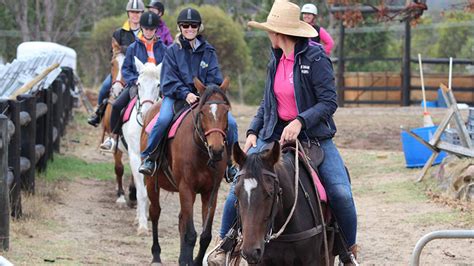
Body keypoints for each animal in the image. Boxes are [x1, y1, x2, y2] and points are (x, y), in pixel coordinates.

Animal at [140, 78, 231, 264]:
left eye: (226, 111)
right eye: (202, 112)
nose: (217, 150)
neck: (201, 151)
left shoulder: (211, 192)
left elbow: (205, 235)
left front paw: (193, 260)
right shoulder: (186, 188)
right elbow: (190, 234)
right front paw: (186, 260)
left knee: (181, 219)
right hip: (151, 182)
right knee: (155, 213)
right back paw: (156, 255)